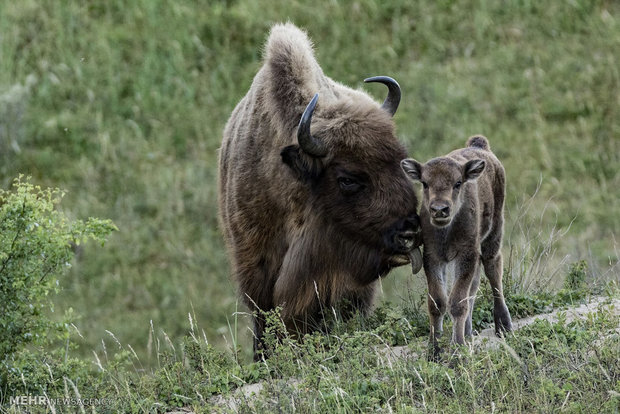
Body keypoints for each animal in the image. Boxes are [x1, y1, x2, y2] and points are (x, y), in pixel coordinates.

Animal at [402, 136, 512, 356]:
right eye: (424, 183)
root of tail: (480, 146)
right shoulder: (434, 257)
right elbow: (438, 302)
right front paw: (434, 351)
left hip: (493, 235)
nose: (439, 209)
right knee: (475, 286)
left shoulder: (466, 254)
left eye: (458, 183)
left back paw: (503, 326)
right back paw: (469, 333)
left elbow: (457, 302)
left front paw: (458, 351)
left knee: (493, 271)